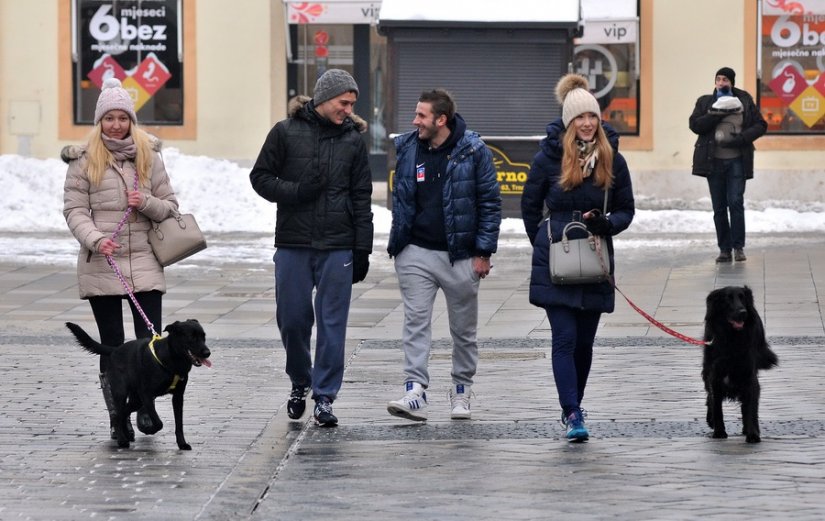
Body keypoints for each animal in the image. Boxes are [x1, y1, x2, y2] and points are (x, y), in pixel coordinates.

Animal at [66, 318, 211, 448]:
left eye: (203, 337)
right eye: (191, 337)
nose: (207, 353)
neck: (172, 358)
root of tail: (114, 350)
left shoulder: (178, 397)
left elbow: (179, 424)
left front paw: (182, 444)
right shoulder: (146, 394)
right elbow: (158, 423)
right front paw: (150, 429)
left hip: (136, 400)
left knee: (123, 413)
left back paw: (125, 434)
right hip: (122, 393)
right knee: (117, 414)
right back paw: (122, 440)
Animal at [700, 286, 776, 440]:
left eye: (742, 297)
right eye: (727, 299)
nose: (743, 312)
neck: (732, 339)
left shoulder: (749, 376)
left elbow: (751, 407)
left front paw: (752, 433)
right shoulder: (715, 375)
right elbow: (716, 405)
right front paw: (719, 432)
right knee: (709, 397)